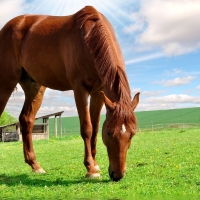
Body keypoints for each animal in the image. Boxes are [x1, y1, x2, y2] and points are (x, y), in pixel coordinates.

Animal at [0, 5, 139, 181]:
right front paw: (90, 169)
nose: (117, 175)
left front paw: (95, 164)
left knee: (26, 120)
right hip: (6, 83)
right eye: (109, 132)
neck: (87, 38)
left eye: (132, 133)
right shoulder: (79, 89)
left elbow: (94, 128)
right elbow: (87, 128)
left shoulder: (99, 92)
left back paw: (35, 165)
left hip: (34, 87)